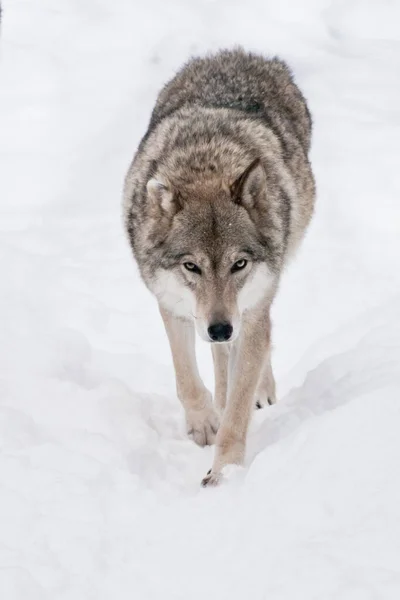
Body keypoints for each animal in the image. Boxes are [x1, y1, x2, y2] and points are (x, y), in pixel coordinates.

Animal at [123, 49, 314, 486]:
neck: (206, 164)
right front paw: (204, 423)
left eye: (238, 263)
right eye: (191, 266)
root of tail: (242, 53)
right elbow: (187, 380)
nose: (220, 328)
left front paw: (225, 474)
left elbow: (238, 407)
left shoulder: (250, 310)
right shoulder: (173, 305)